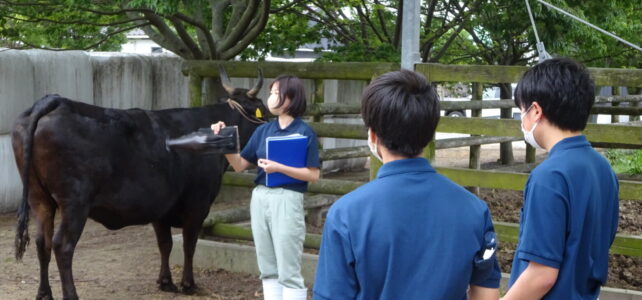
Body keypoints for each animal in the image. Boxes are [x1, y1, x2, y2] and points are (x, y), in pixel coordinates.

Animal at [12, 69, 268, 298]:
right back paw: (70, 294)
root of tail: (55, 101)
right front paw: (188, 284)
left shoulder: (160, 207)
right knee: (62, 246)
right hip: (75, 202)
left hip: (38, 198)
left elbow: (165, 244)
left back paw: (44, 294)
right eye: (263, 110)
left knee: (42, 243)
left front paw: (165, 282)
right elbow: (188, 244)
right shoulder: (197, 204)